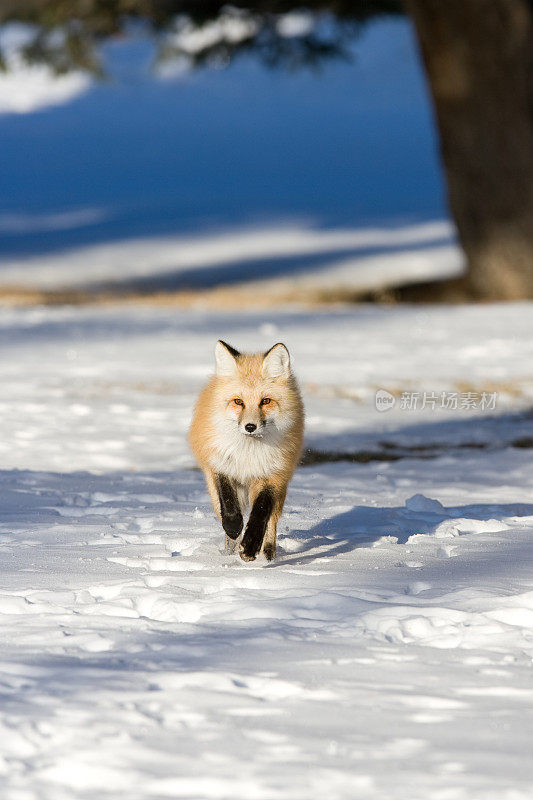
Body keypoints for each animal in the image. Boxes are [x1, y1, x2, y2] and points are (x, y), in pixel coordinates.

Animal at [189, 340, 304, 560]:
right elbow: (229, 505)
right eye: (238, 402)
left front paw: (251, 545)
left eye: (266, 401)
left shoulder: (272, 475)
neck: (248, 454)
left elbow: (261, 512)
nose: (250, 427)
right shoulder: (220, 465)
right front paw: (234, 527)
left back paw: (268, 552)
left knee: (272, 521)